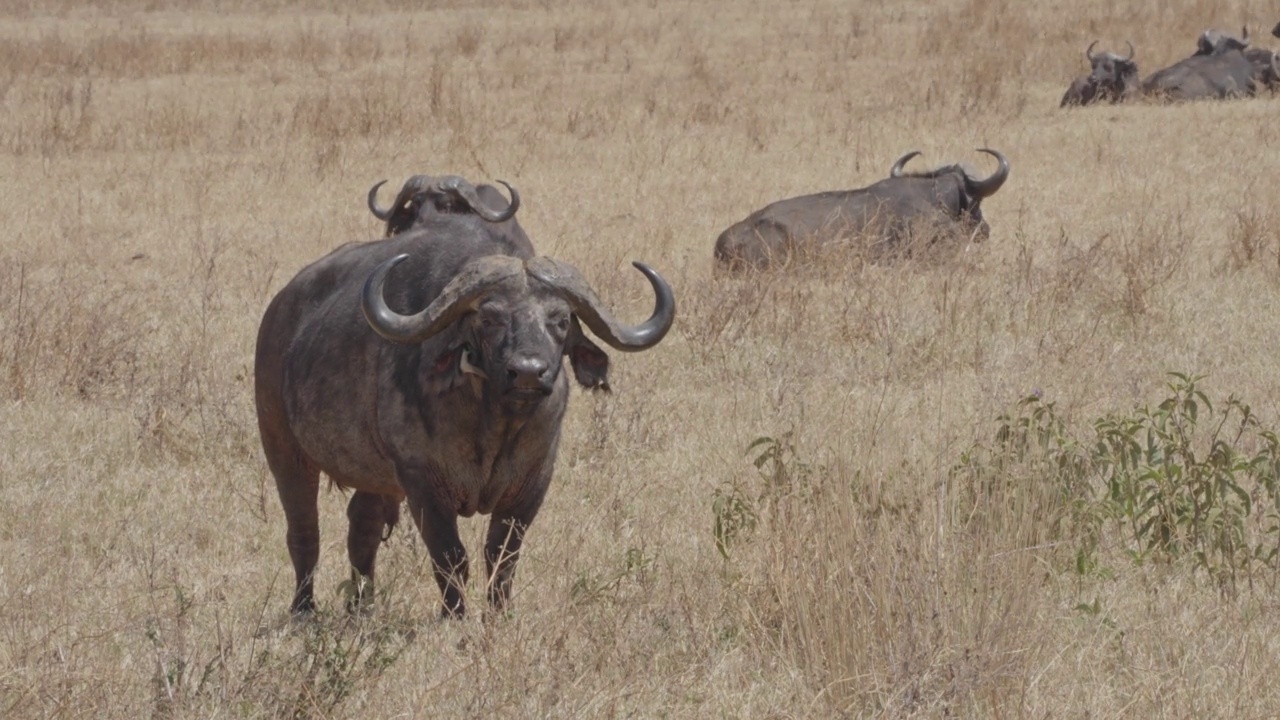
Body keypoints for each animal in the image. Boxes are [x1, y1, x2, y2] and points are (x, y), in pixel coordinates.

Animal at [259, 190, 680, 617]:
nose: (528, 373)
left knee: (362, 528)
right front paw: (455, 615)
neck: (491, 428)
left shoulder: (533, 483)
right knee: (304, 530)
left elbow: (502, 556)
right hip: (283, 450)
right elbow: (450, 556)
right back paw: (303, 608)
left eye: (561, 320)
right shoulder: (421, 483)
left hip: (372, 475)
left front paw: (499, 614)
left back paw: (362, 607)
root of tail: (279, 310)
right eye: (489, 318)